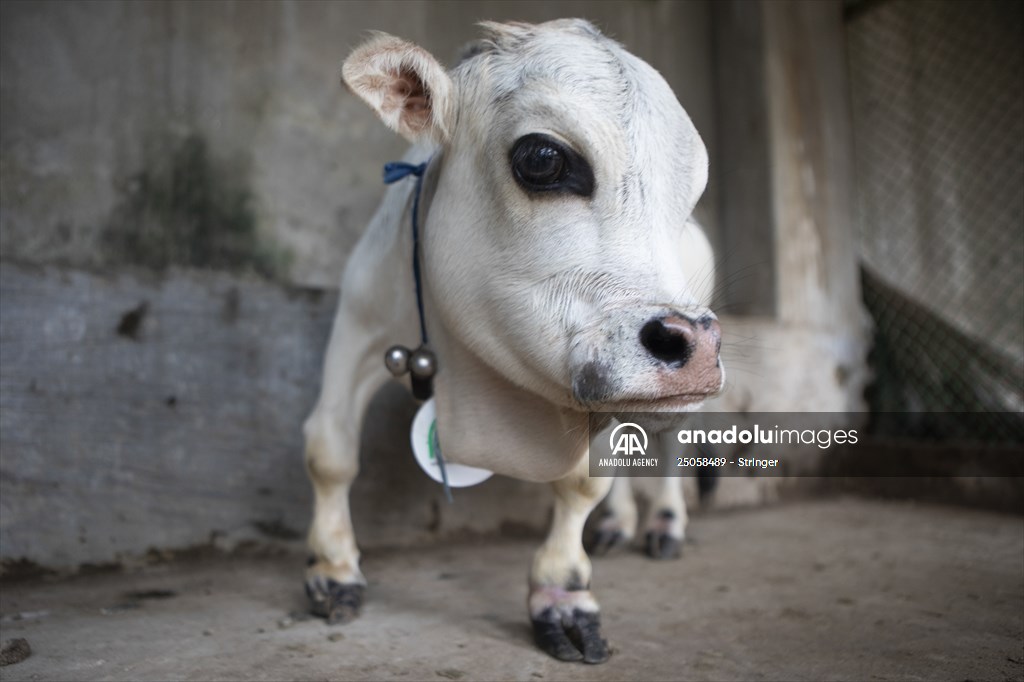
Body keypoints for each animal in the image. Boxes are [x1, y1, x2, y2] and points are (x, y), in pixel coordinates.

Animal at [302, 19, 723, 664]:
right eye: (544, 158)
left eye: (693, 188)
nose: (693, 343)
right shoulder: (358, 322)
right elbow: (330, 450)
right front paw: (333, 570)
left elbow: (582, 481)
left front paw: (563, 596)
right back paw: (618, 526)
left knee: (670, 445)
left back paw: (665, 525)